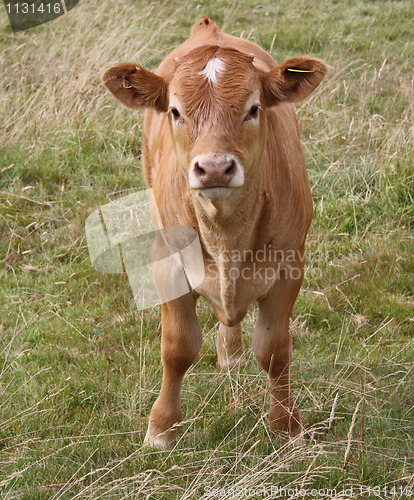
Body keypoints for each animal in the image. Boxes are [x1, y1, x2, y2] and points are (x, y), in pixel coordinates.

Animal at [101, 15, 326, 448]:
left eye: (254, 108)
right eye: (175, 111)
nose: (216, 167)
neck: (226, 236)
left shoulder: (290, 264)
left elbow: (275, 350)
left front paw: (286, 424)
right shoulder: (166, 261)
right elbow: (177, 349)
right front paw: (162, 428)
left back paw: (231, 351)